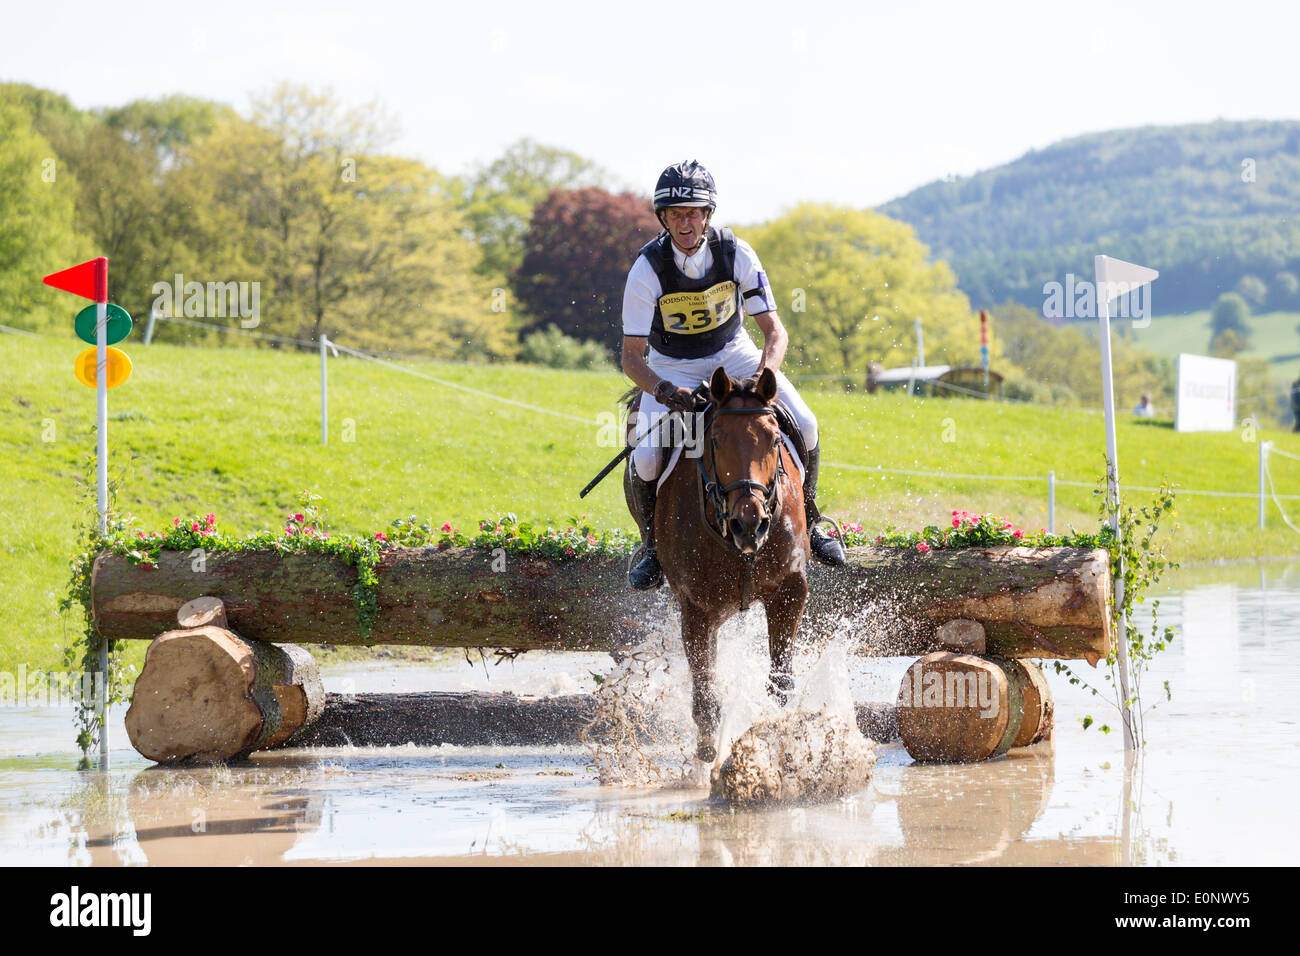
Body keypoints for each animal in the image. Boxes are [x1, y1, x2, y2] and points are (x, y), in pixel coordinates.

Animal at [624, 366, 806, 764]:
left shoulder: (790, 591)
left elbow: (781, 683)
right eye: (717, 442)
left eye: (774, 441)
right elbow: (705, 701)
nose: (750, 524)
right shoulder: (696, 608)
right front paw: (709, 758)